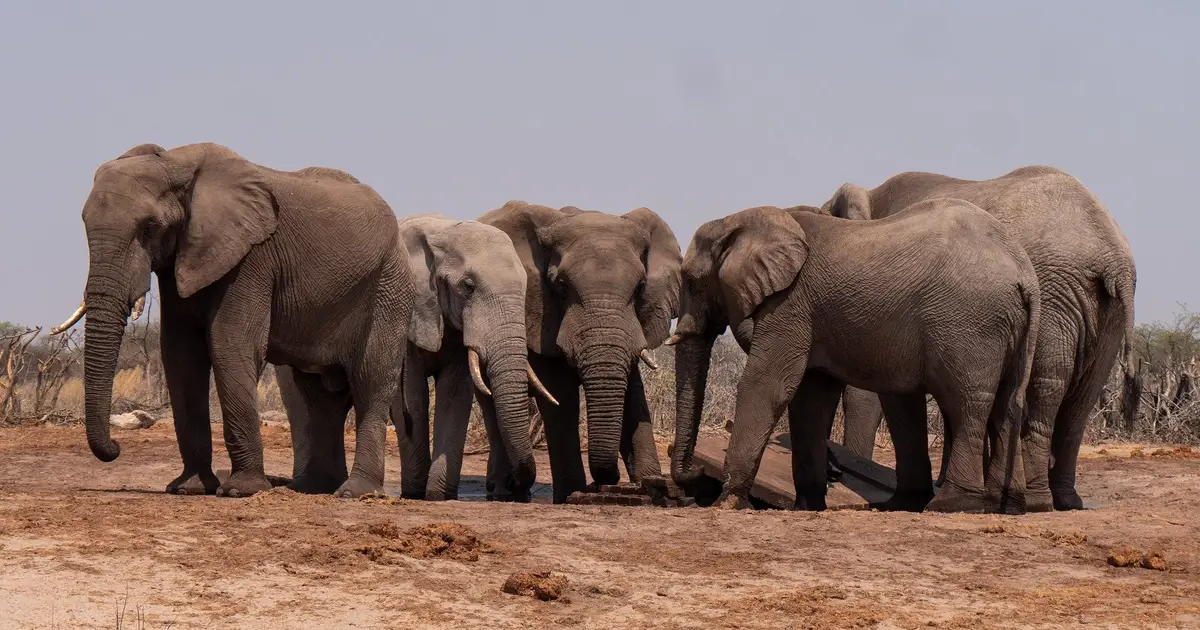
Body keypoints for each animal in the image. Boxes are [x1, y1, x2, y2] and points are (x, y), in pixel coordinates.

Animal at [52, 142, 414, 498]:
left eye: (149, 227)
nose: (115, 448)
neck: (175, 162)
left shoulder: (252, 258)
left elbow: (230, 344)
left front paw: (241, 490)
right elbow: (181, 355)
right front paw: (189, 489)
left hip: (389, 287)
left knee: (369, 380)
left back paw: (356, 493)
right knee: (320, 396)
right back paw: (311, 488)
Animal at [478, 201, 682, 504]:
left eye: (641, 287)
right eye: (561, 286)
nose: (608, 481)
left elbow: (632, 392)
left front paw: (651, 487)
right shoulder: (540, 314)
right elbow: (560, 394)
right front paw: (571, 494)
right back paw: (503, 490)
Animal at [669, 200, 1040, 514]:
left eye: (691, 282)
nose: (695, 474)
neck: (740, 220)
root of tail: (1023, 271)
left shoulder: (790, 304)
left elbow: (768, 385)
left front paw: (728, 502)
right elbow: (811, 399)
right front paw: (807, 506)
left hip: (970, 324)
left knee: (966, 404)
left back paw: (951, 505)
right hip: (1006, 327)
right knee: (1007, 405)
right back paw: (1004, 506)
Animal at [822, 166, 1137, 511]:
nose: (836, 473)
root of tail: (1113, 255)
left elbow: (878, 391)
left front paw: (902, 501)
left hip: (1055, 294)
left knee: (1044, 387)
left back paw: (1035, 501)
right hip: (1104, 311)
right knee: (1081, 399)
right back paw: (1064, 501)